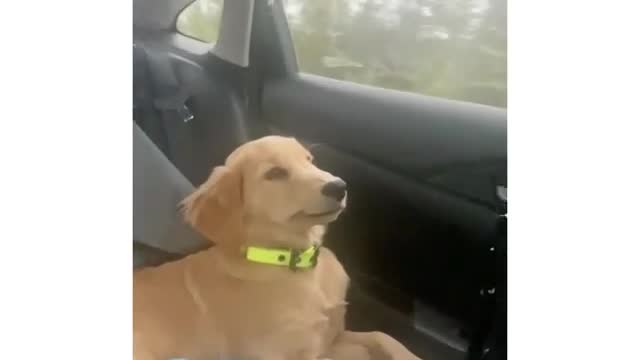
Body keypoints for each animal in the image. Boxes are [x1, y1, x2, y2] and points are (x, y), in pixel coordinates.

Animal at [132, 136, 420, 360]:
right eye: (275, 173)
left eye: (309, 160)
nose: (340, 186)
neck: (290, 262)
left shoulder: (332, 335)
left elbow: (380, 335)